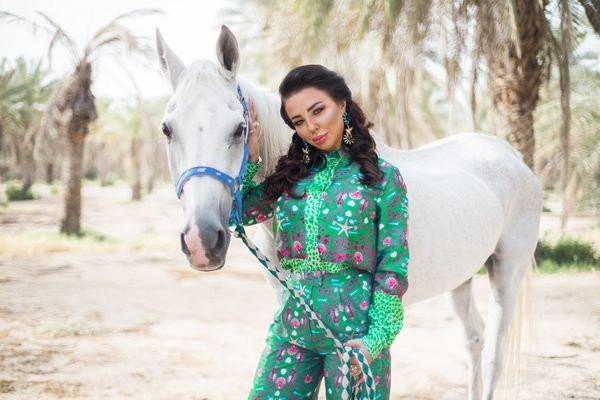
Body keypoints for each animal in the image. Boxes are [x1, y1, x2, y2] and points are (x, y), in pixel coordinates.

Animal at [155, 25, 544, 400]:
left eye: (239, 129)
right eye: (167, 129)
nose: (202, 241)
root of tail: (510, 155)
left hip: (507, 271)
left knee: (494, 353)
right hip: (460, 277)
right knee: (474, 338)